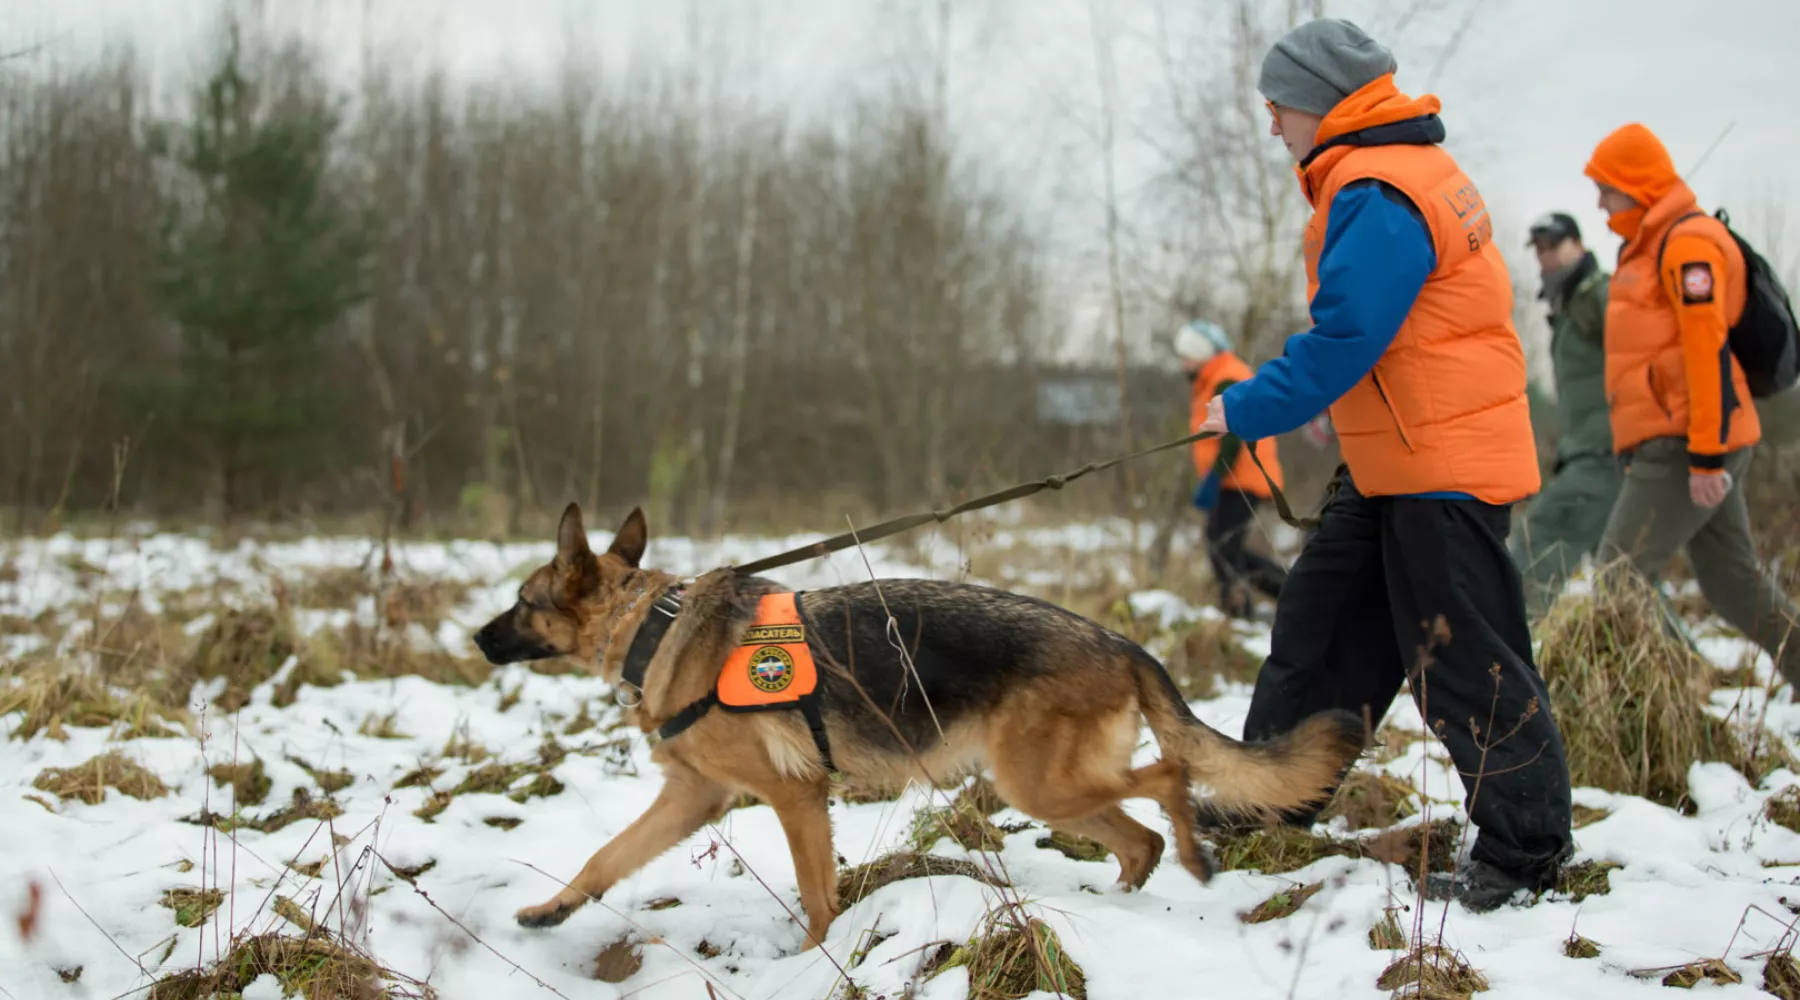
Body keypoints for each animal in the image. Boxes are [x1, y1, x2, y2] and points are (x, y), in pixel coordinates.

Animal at [471, 503, 1353, 949]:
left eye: (520, 601)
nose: (475, 640)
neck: (652, 626)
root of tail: (1125, 644)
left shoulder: (793, 797)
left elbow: (817, 900)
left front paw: (815, 962)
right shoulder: (694, 799)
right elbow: (605, 856)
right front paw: (552, 911)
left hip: (1043, 783)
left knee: (1170, 780)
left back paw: (1197, 859)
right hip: (1044, 789)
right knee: (1138, 841)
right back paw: (1122, 906)